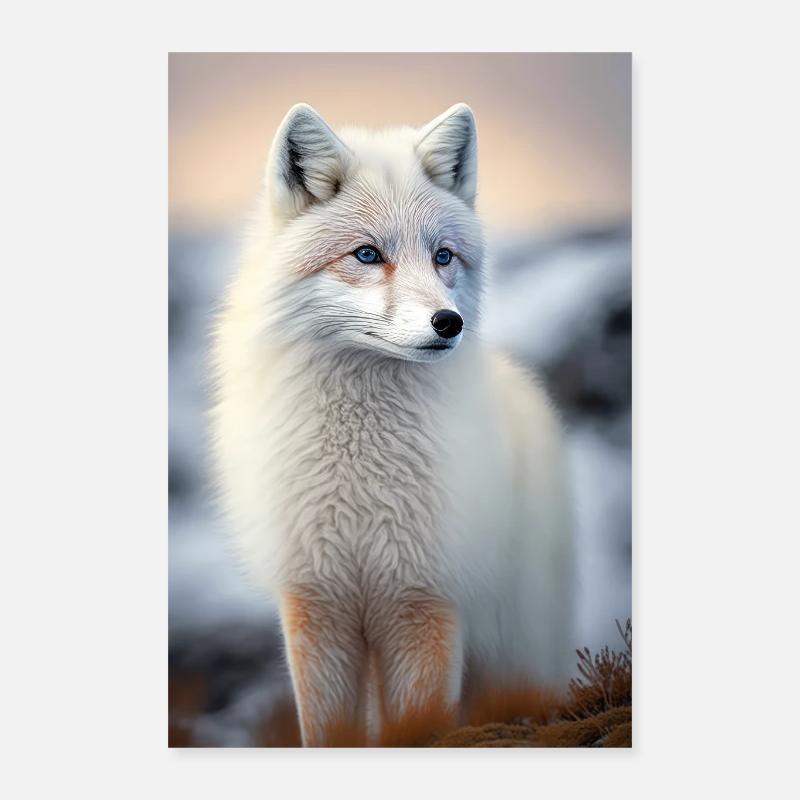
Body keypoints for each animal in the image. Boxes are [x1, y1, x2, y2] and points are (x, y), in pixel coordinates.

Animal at [209, 102, 574, 746]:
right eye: (367, 255)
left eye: (443, 256)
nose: (449, 322)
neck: (359, 475)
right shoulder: (317, 603)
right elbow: (326, 732)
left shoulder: (423, 597)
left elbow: (421, 726)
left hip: (514, 643)